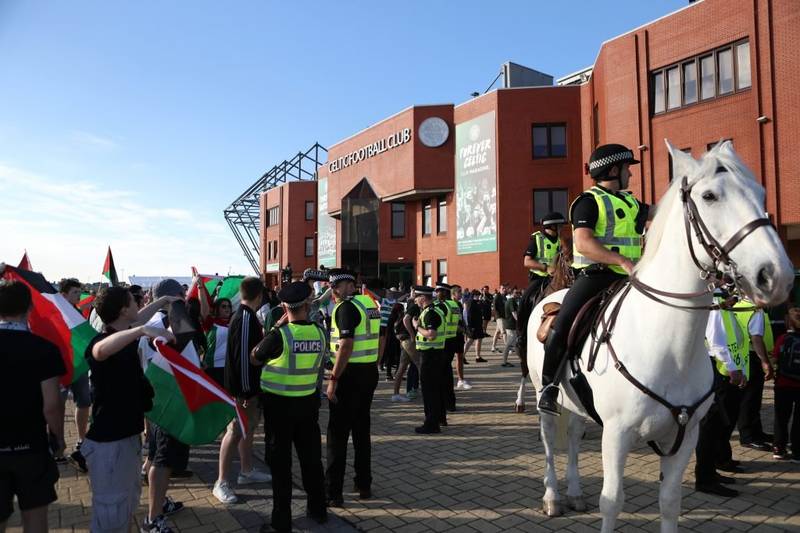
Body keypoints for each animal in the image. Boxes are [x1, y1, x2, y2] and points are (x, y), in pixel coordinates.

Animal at [524, 141, 792, 532]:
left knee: (572, 436)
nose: (776, 276)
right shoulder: (616, 435)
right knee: (547, 442)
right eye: (709, 196)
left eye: (761, 193)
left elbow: (669, 502)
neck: (668, 346)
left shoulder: (684, 436)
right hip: (545, 396)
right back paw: (553, 497)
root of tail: (551, 297)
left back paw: (573, 492)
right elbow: (611, 502)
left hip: (577, 402)